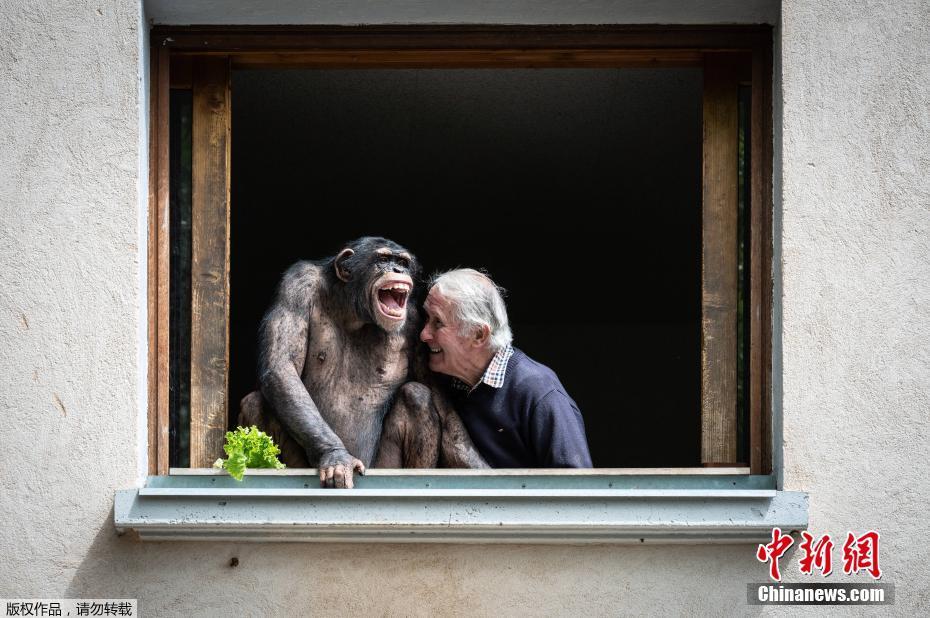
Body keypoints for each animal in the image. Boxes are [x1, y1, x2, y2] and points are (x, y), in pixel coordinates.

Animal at [237, 236, 486, 486]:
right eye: (383, 259)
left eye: (402, 262)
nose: (397, 270)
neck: (354, 313)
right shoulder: (296, 284)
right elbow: (282, 367)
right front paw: (336, 456)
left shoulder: (416, 324)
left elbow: (443, 408)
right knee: (254, 402)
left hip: (382, 466)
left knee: (417, 395)